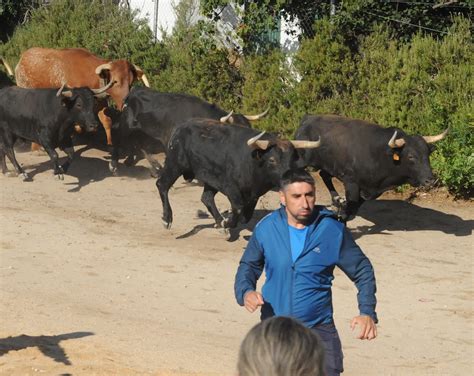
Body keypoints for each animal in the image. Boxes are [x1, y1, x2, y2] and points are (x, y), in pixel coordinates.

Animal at [14, 48, 149, 150]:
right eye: (115, 81)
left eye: (131, 82)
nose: (126, 102)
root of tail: (23, 58)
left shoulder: (100, 103)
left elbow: (106, 122)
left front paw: (109, 143)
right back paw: (36, 147)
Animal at [109, 86, 268, 173]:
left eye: (249, 128)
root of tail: (134, 90)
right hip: (127, 125)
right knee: (118, 138)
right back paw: (114, 165)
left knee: (140, 145)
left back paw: (153, 168)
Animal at [157, 119, 320, 234]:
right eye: (272, 160)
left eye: (292, 160)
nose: (289, 177)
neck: (252, 162)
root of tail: (180, 129)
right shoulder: (230, 188)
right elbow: (239, 208)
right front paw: (227, 223)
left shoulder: (254, 194)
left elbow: (247, 214)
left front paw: (225, 223)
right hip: (175, 164)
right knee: (162, 184)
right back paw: (167, 219)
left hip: (210, 178)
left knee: (206, 198)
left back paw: (219, 222)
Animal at [296, 114, 448, 220]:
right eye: (411, 156)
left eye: (428, 153)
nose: (430, 180)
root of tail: (308, 118)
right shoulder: (351, 183)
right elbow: (349, 209)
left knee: (324, 175)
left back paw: (336, 199)